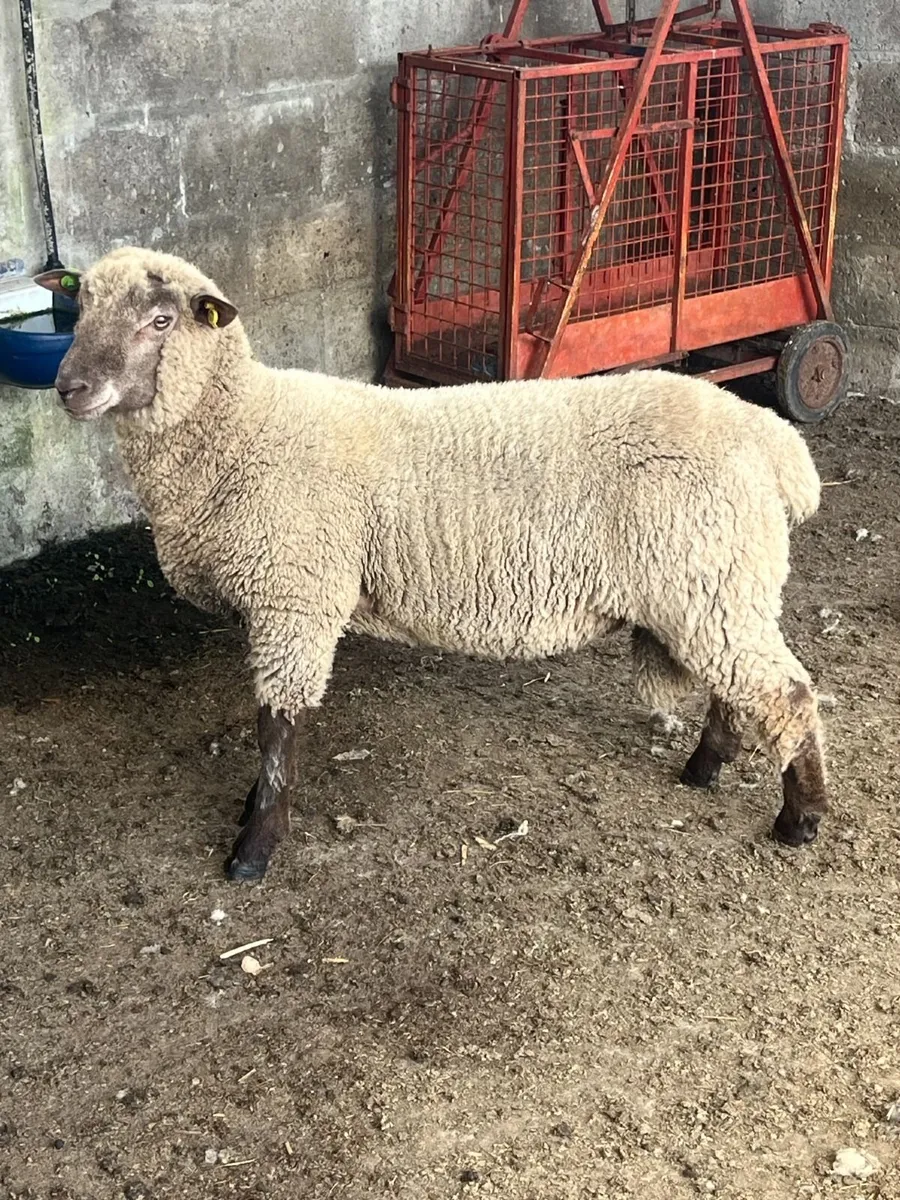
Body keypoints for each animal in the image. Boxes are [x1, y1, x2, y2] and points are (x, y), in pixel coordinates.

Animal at [37, 247, 828, 882]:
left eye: (161, 321)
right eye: (78, 309)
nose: (69, 388)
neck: (243, 429)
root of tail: (773, 440)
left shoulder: (296, 599)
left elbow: (275, 731)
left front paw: (254, 851)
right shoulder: (279, 602)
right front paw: (251, 817)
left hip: (708, 576)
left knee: (787, 695)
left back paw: (801, 819)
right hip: (712, 585)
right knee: (739, 688)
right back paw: (705, 769)